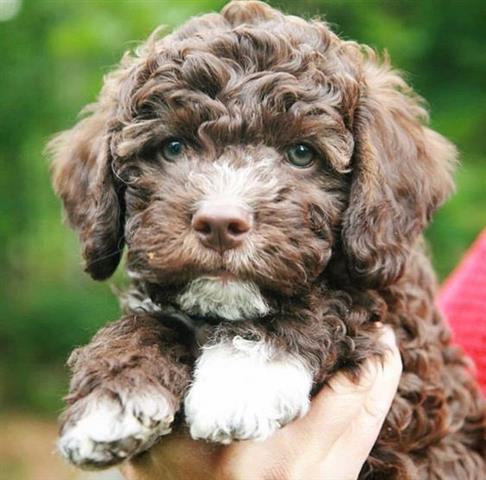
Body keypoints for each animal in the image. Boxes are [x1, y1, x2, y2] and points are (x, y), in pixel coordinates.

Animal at [49, 0, 486, 476]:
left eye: (301, 153)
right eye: (173, 147)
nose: (220, 223)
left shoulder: (395, 312)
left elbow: (334, 301)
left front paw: (239, 381)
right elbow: (148, 320)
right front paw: (111, 393)